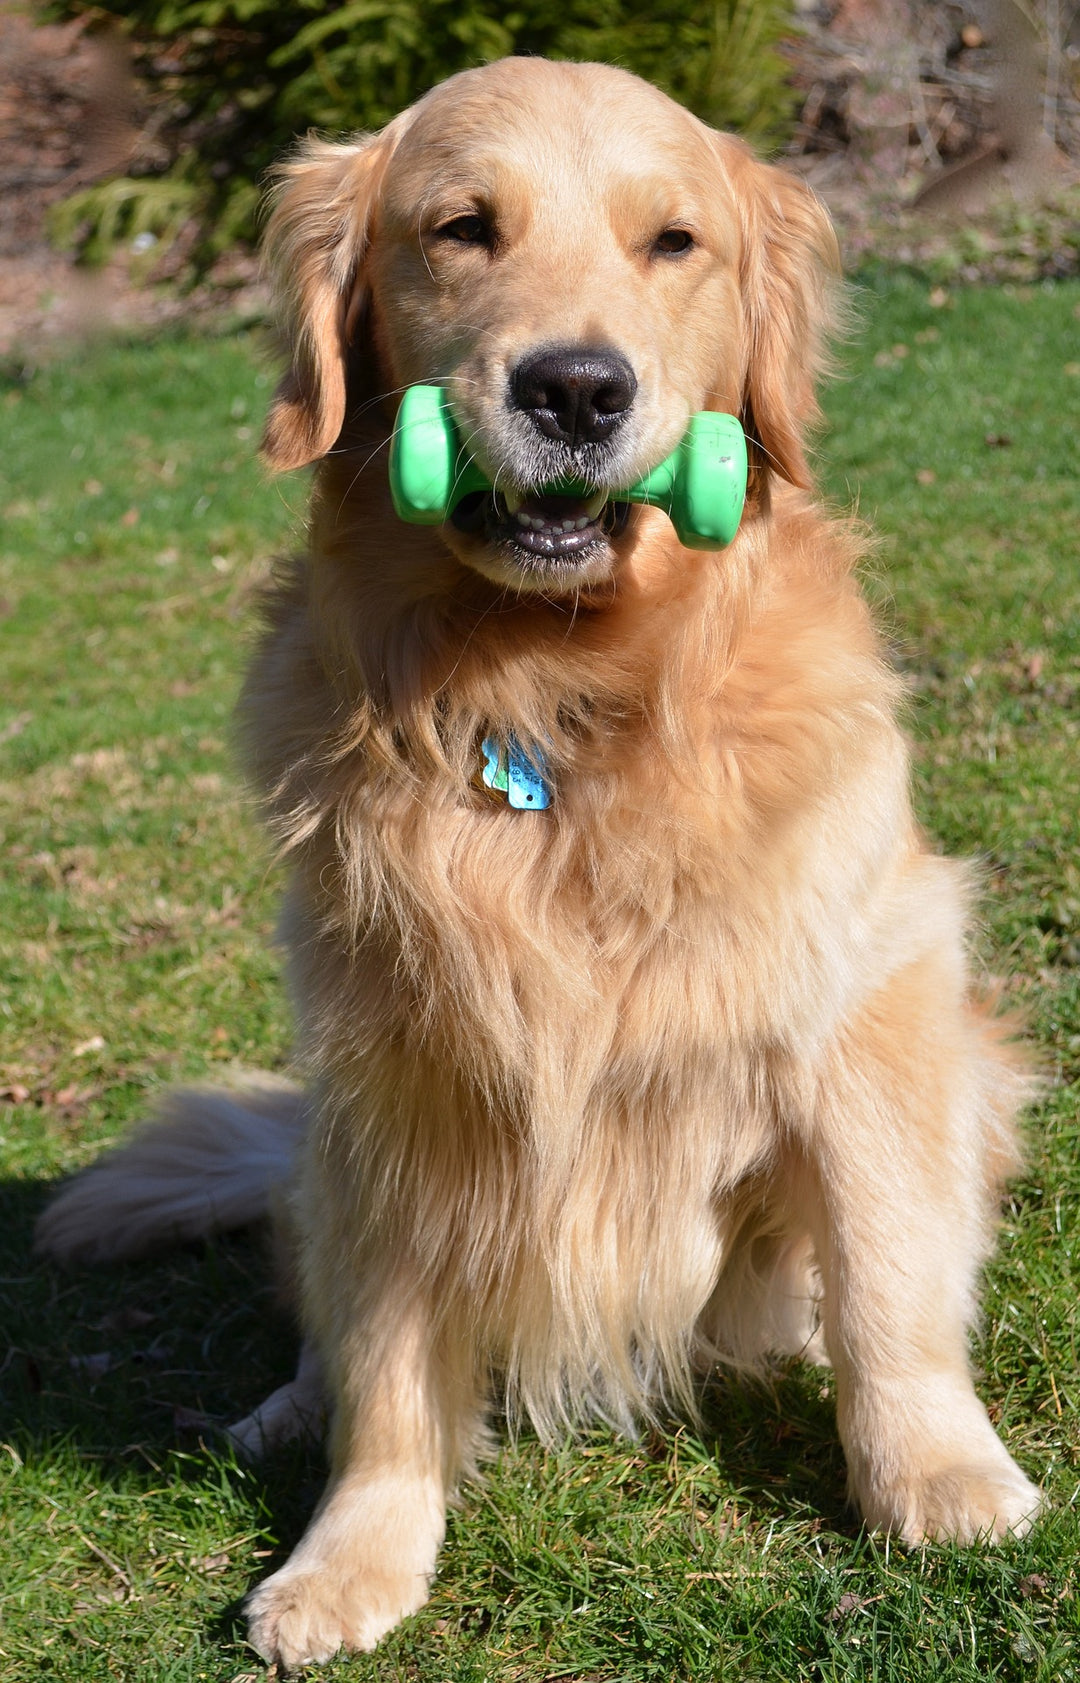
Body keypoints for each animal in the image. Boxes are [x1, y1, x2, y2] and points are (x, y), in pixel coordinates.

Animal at [37, 52, 1036, 1669]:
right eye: (462, 229)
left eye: (673, 242)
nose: (575, 386)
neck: (555, 704)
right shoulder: (398, 1076)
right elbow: (389, 1361)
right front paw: (353, 1554)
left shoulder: (874, 1006)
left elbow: (891, 1274)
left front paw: (939, 1478)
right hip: (321, 1140)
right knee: (327, 1313)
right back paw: (282, 1408)